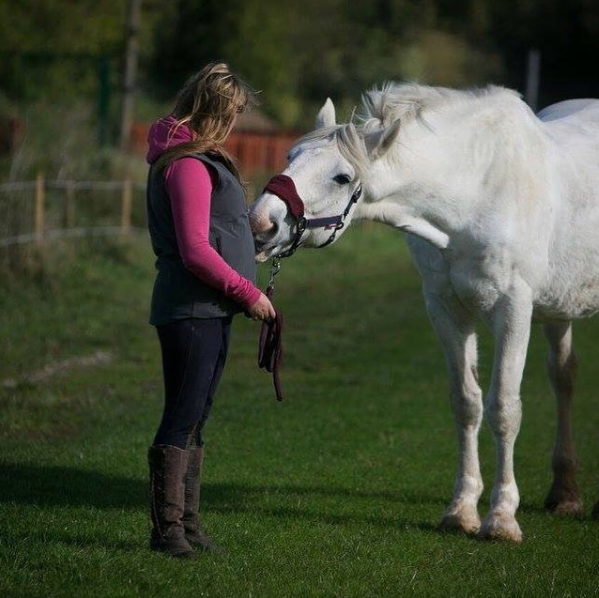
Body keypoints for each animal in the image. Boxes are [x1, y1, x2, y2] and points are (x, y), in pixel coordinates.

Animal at [248, 83, 599, 544]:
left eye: (342, 176)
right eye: (290, 156)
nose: (260, 222)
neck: (477, 193)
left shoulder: (513, 310)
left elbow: (504, 408)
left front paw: (501, 517)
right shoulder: (446, 310)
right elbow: (466, 403)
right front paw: (461, 510)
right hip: (559, 309)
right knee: (564, 378)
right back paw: (565, 493)